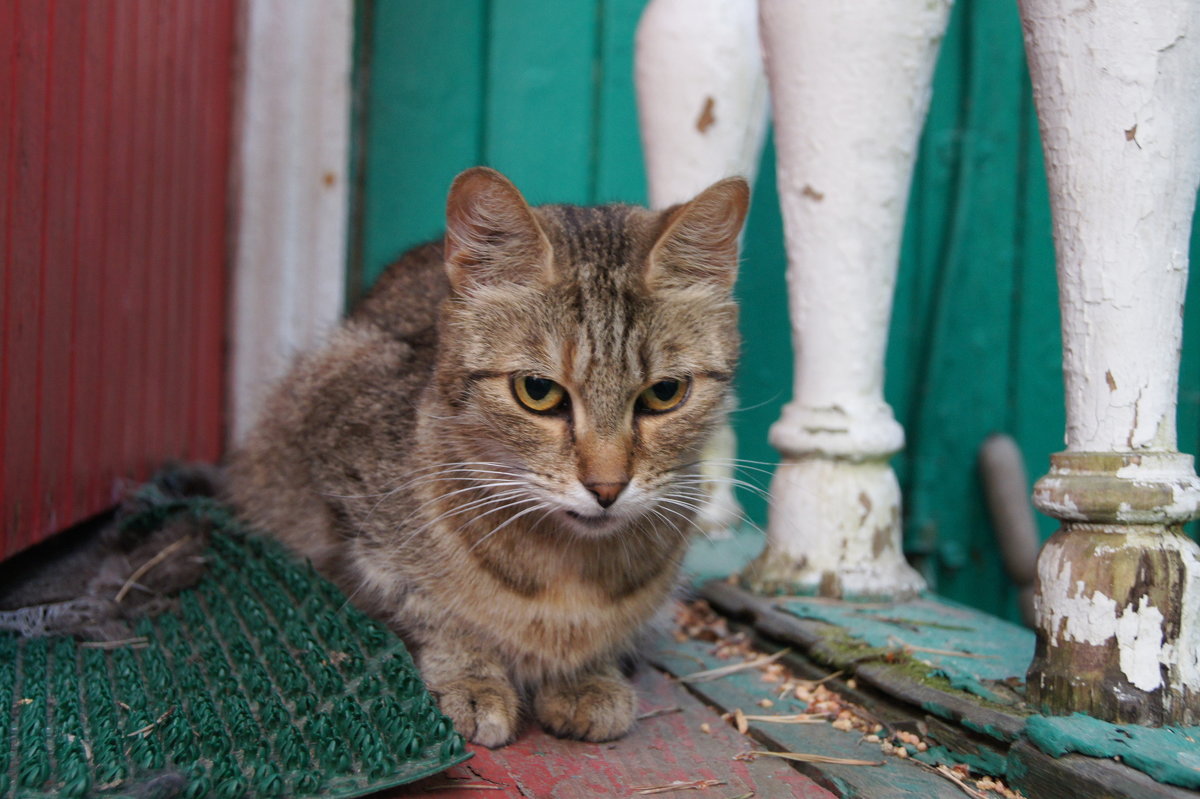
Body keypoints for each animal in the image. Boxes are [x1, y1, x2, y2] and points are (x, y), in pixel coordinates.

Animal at [228, 164, 744, 743]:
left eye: (664, 394)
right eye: (537, 391)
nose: (607, 487)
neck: (569, 575)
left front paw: (586, 677)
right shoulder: (346, 499)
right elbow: (434, 613)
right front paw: (472, 678)